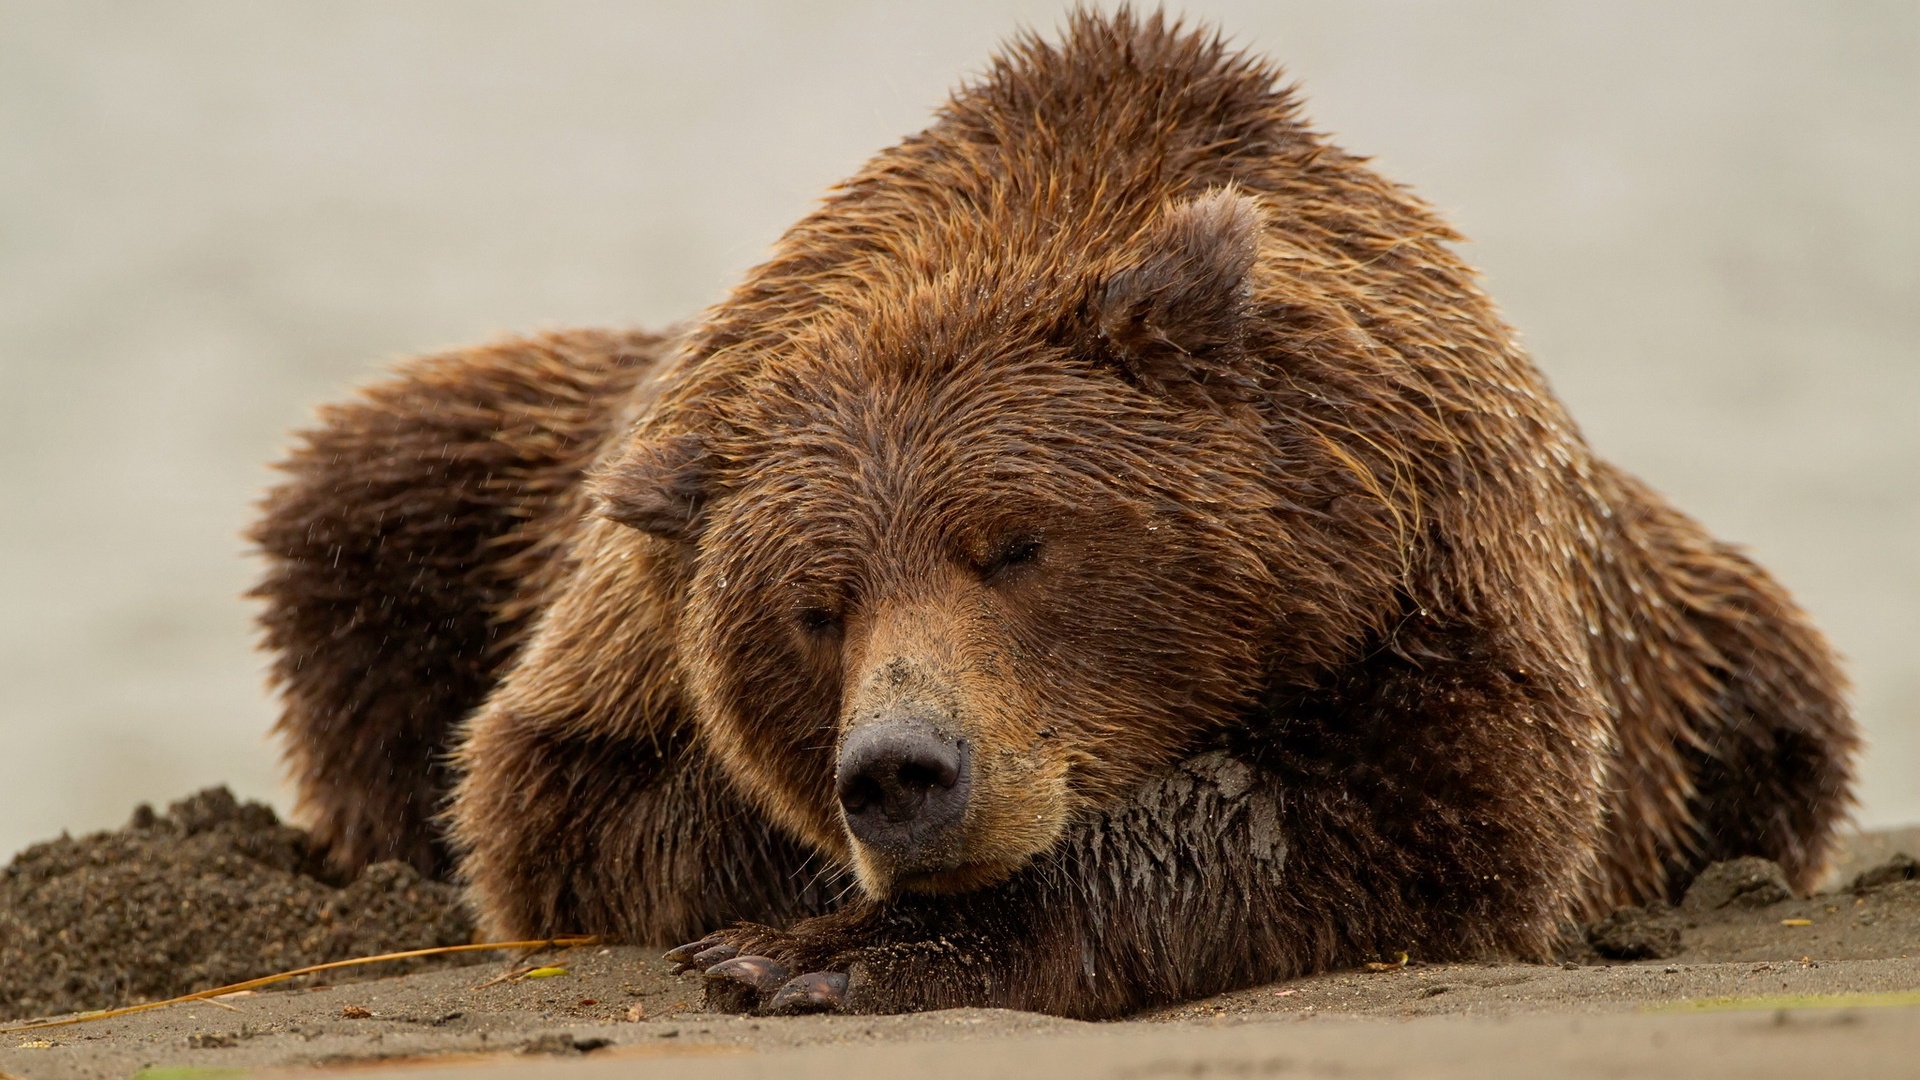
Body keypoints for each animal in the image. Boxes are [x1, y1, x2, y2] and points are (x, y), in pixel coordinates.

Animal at [255, 10, 1858, 1014]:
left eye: (1018, 545)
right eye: (814, 607)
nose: (903, 771)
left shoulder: (1437, 558)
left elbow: (1413, 807)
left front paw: (831, 954)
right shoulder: (622, 635)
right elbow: (567, 805)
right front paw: (803, 920)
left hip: (1727, 663)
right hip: (469, 467)